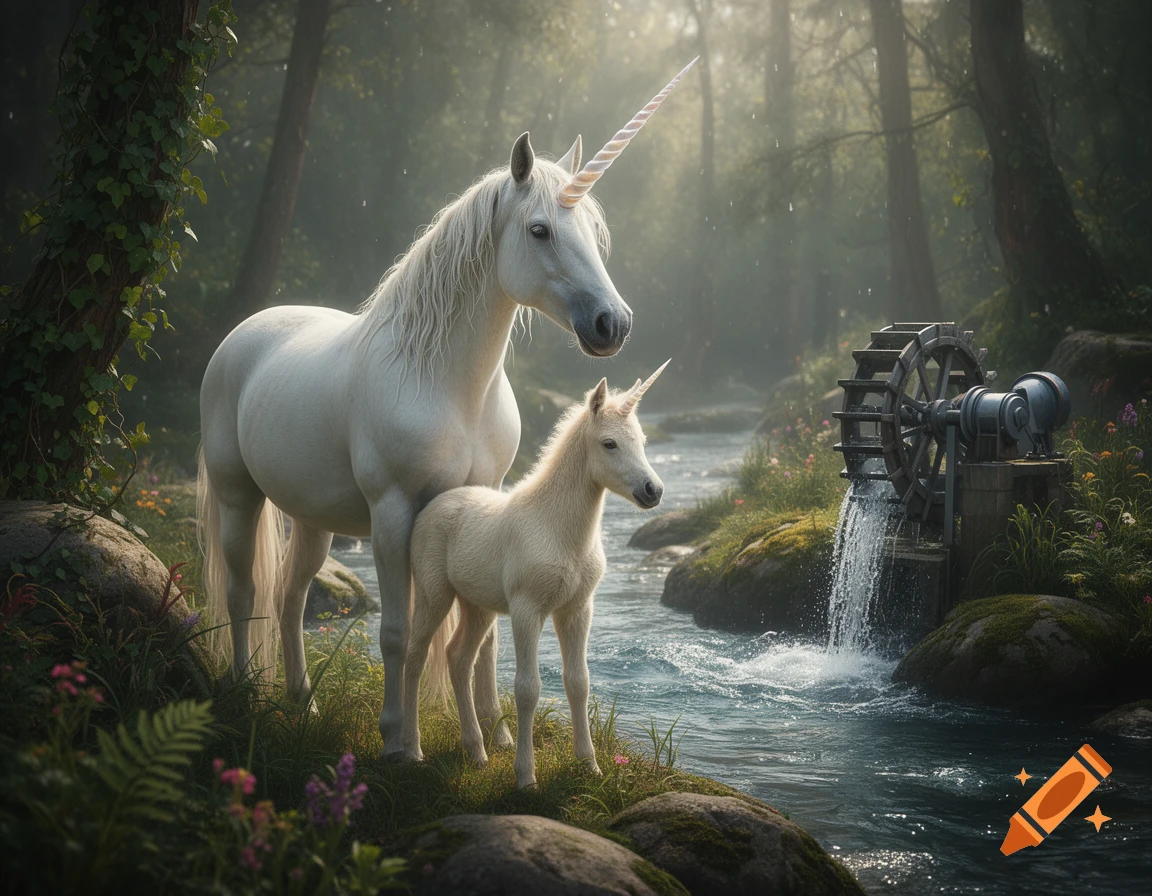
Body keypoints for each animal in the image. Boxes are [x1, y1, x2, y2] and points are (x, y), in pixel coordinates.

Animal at [405, 363, 667, 788]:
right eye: (609, 443)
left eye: (642, 440)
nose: (652, 491)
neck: (557, 527)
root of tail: (433, 506)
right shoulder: (527, 609)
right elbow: (528, 689)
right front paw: (526, 777)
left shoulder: (577, 609)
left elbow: (578, 682)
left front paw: (589, 764)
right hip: (434, 595)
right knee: (415, 657)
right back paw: (411, 750)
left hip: (478, 606)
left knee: (458, 658)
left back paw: (476, 751)